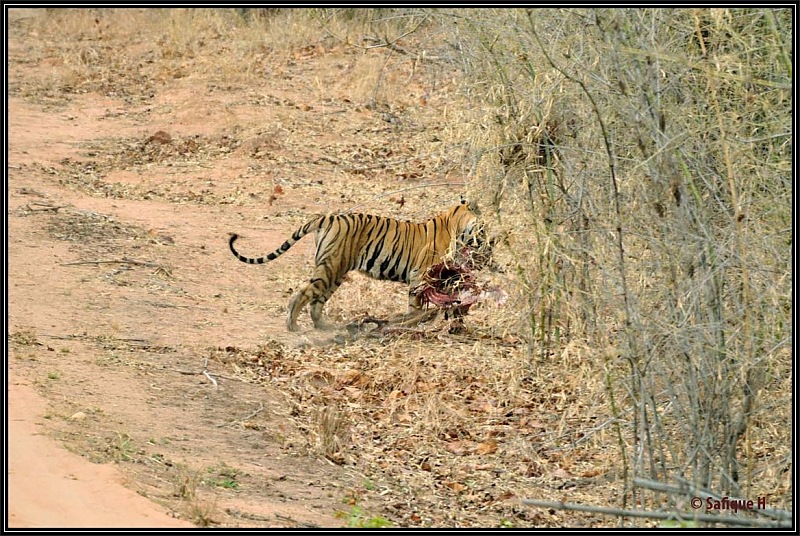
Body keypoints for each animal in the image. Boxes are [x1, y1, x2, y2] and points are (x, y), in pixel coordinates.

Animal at [230, 198, 488, 328]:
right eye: (483, 229)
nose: (490, 242)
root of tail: (328, 217)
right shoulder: (421, 275)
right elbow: (416, 304)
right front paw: (413, 322)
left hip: (336, 271)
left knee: (317, 300)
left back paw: (324, 326)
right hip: (331, 267)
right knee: (305, 292)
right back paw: (292, 324)